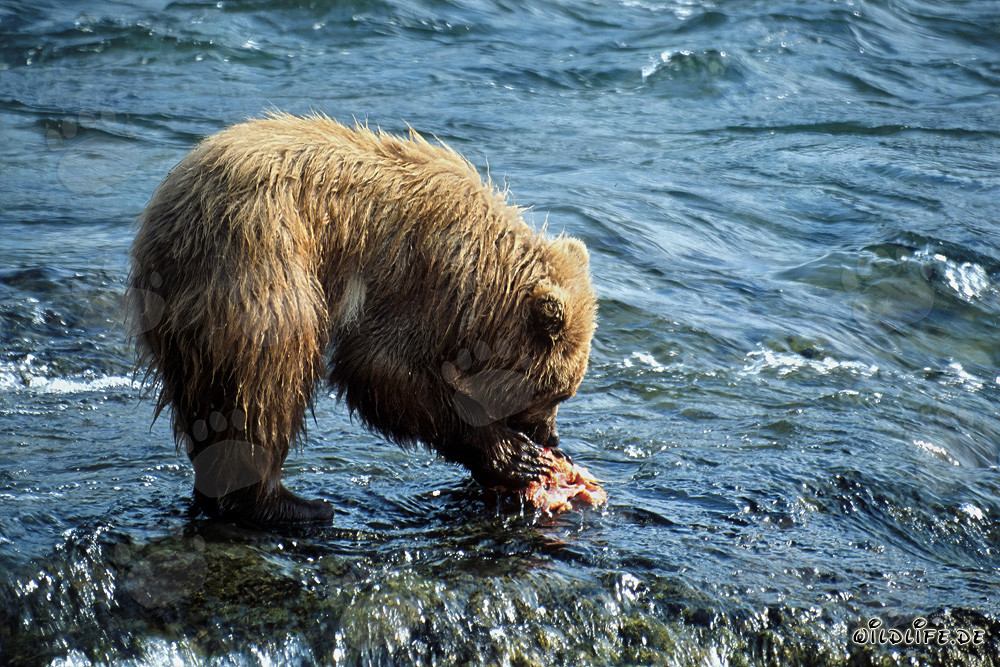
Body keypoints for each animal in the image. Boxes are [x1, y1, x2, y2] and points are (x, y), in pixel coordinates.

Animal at [126, 112, 597, 526]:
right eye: (554, 392)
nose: (552, 438)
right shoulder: (419, 278)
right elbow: (378, 367)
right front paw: (515, 457)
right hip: (257, 268)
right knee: (268, 381)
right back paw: (291, 505)